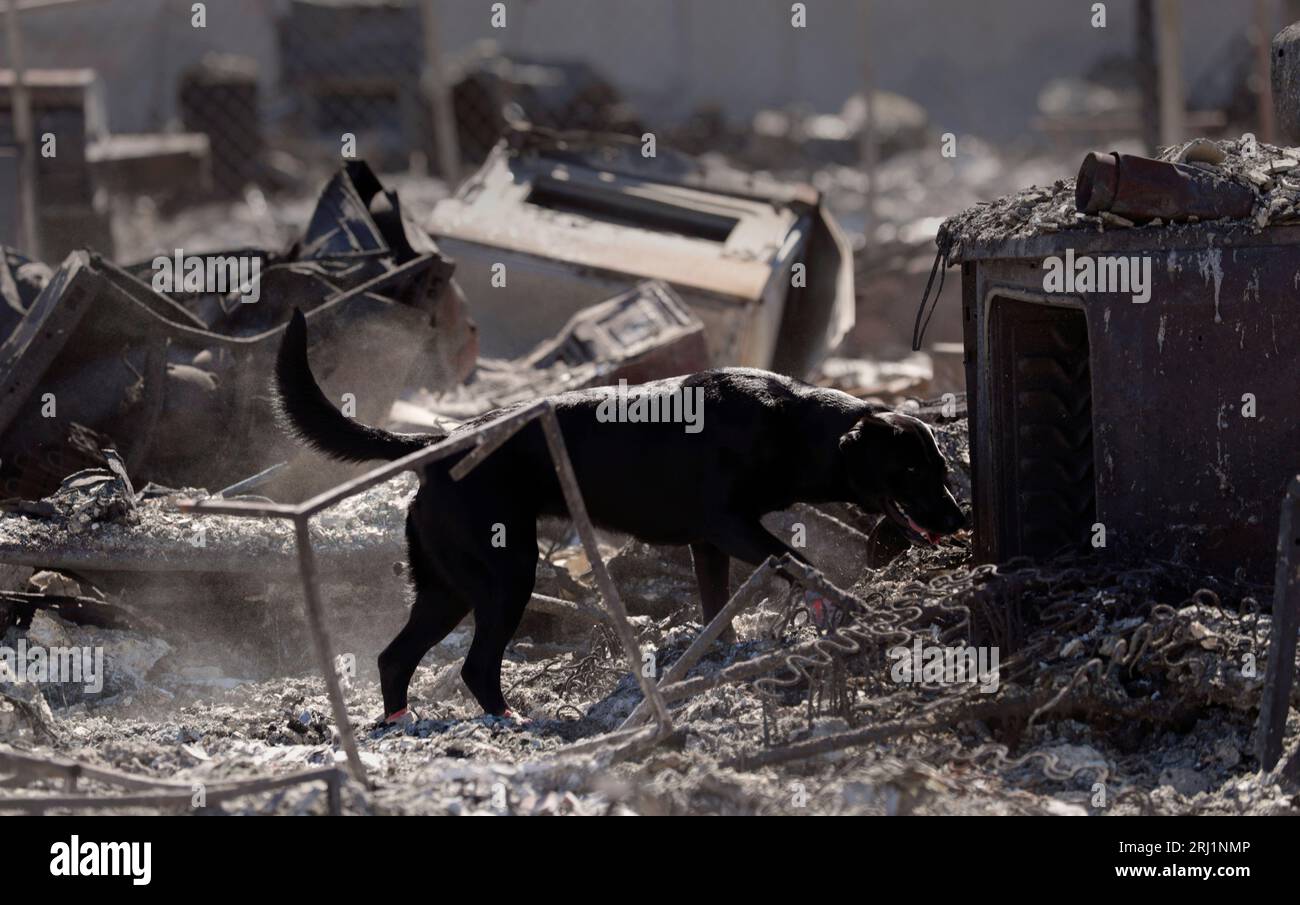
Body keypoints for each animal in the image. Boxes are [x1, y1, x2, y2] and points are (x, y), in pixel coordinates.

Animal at [276, 309, 967, 722]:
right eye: (914, 472)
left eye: (939, 466)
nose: (959, 519)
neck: (792, 423)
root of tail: (439, 443)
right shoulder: (730, 526)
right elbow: (794, 559)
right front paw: (835, 605)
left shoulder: (709, 544)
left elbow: (717, 604)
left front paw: (718, 655)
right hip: (505, 576)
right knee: (474, 665)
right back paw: (510, 721)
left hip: (447, 587)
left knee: (395, 658)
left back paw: (399, 725)